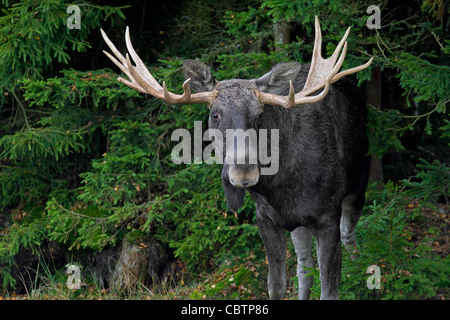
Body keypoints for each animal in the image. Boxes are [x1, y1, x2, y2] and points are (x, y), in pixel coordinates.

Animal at [101, 15, 372, 300]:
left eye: (259, 114)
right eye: (215, 114)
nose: (244, 172)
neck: (283, 186)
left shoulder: (327, 217)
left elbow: (329, 291)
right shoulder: (266, 217)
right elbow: (276, 285)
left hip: (359, 184)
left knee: (351, 240)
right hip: (298, 224)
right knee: (303, 267)